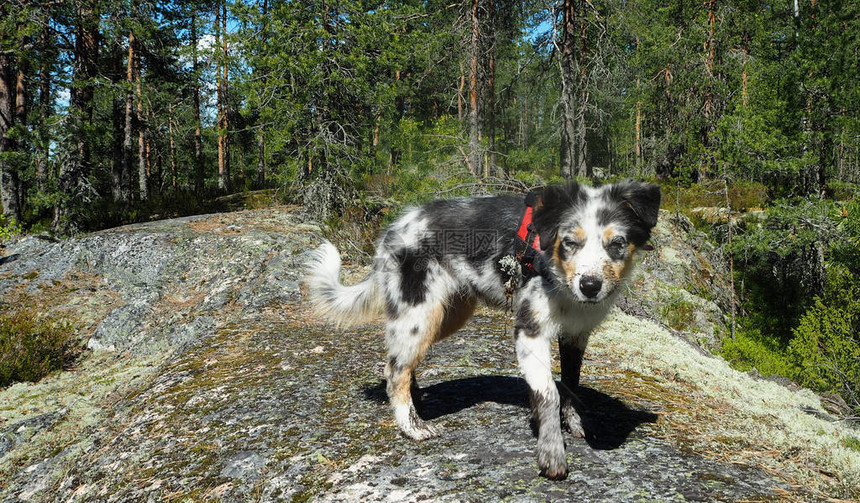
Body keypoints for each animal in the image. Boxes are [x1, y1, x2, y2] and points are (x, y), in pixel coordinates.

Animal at [302, 181, 660, 480]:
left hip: (448, 315)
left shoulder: (576, 334)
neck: (558, 274)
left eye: (617, 244)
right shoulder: (529, 332)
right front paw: (552, 455)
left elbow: (571, 386)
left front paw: (573, 424)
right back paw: (412, 426)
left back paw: (416, 402)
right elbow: (549, 392)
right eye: (570, 242)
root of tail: (391, 232)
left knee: (396, 361)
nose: (590, 286)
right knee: (395, 369)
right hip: (420, 313)